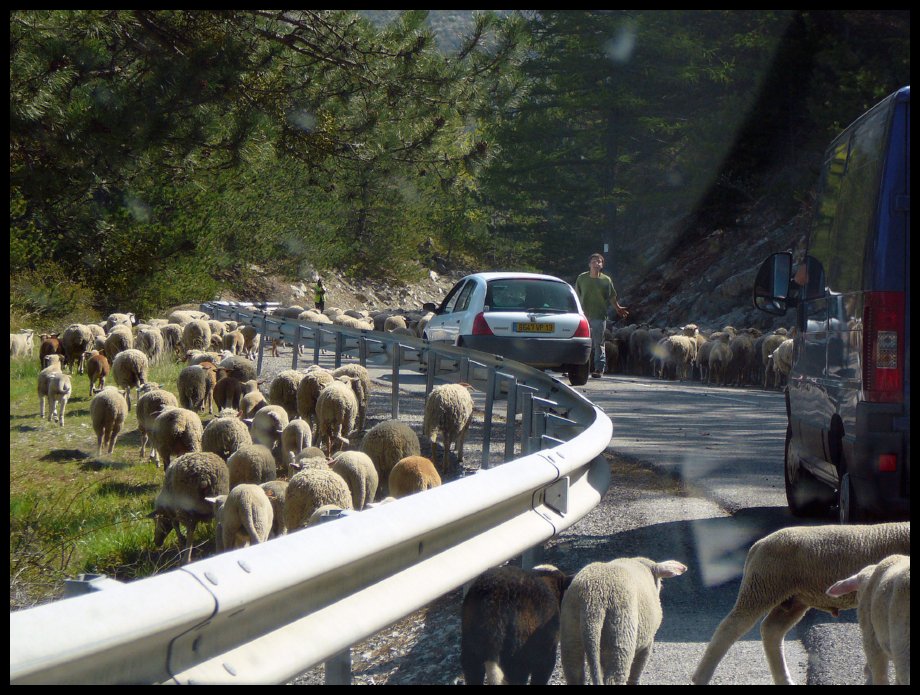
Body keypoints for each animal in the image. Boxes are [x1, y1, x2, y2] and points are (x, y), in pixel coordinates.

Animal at [556, 556, 688, 684]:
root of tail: (593, 599)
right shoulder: (648, 641)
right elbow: (637, 671)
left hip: (570, 625)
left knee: (573, 671)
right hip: (621, 631)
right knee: (615, 677)